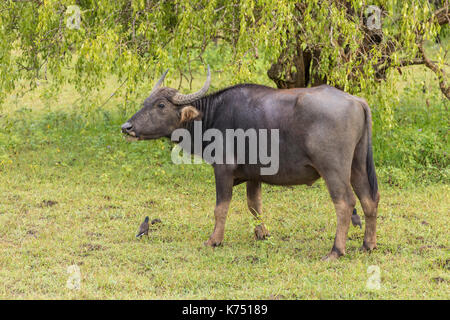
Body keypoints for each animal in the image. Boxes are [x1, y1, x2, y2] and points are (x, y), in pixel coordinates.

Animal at [122, 68, 380, 260]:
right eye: (146, 102)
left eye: (161, 106)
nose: (127, 127)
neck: (211, 116)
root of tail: (356, 100)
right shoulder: (255, 175)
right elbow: (254, 205)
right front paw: (261, 234)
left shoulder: (223, 170)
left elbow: (221, 208)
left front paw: (214, 240)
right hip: (357, 164)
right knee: (369, 199)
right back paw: (368, 245)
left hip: (333, 169)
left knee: (345, 203)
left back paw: (336, 251)